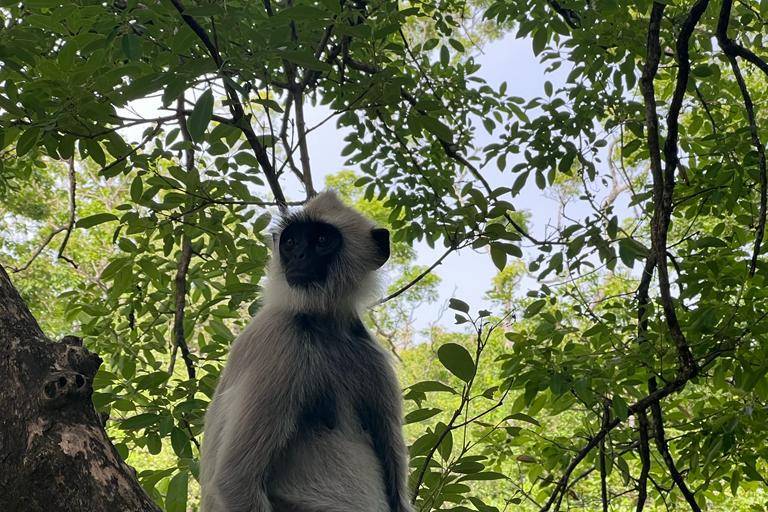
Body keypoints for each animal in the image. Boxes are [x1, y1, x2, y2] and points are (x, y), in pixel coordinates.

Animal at [198, 191, 414, 512]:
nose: (298, 256)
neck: (324, 325)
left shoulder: (371, 354)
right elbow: (234, 480)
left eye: (322, 240)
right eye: (291, 242)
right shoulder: (279, 337)